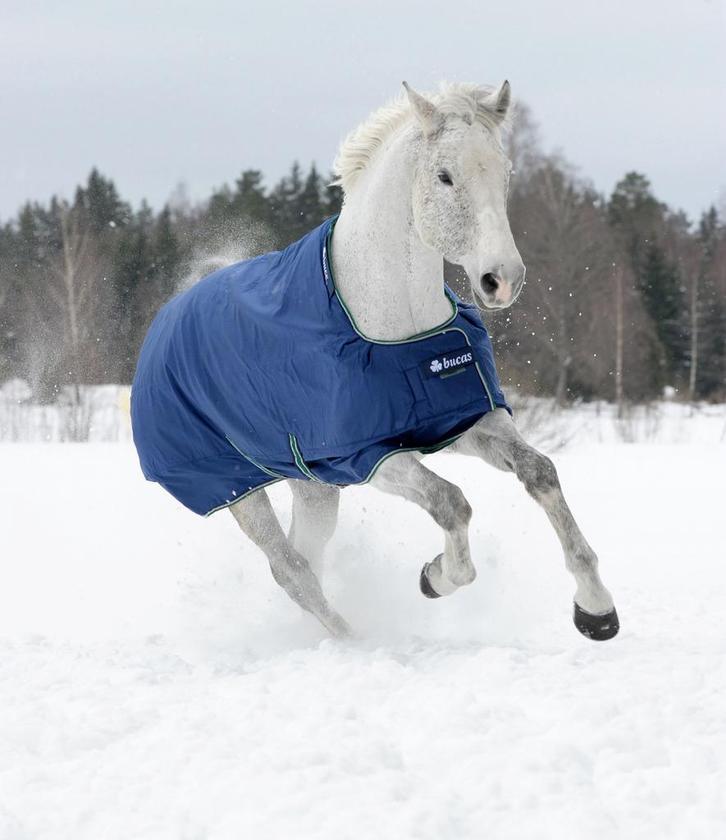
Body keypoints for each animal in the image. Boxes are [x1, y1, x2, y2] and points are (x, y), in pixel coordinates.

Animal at [131, 81, 619, 642]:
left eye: (505, 170)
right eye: (444, 175)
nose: (502, 280)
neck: (389, 321)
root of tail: (168, 317)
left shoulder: (463, 421)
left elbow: (541, 473)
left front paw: (596, 610)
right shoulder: (369, 458)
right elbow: (452, 502)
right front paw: (436, 577)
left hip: (312, 488)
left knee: (307, 556)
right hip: (233, 490)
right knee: (291, 570)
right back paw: (351, 639)